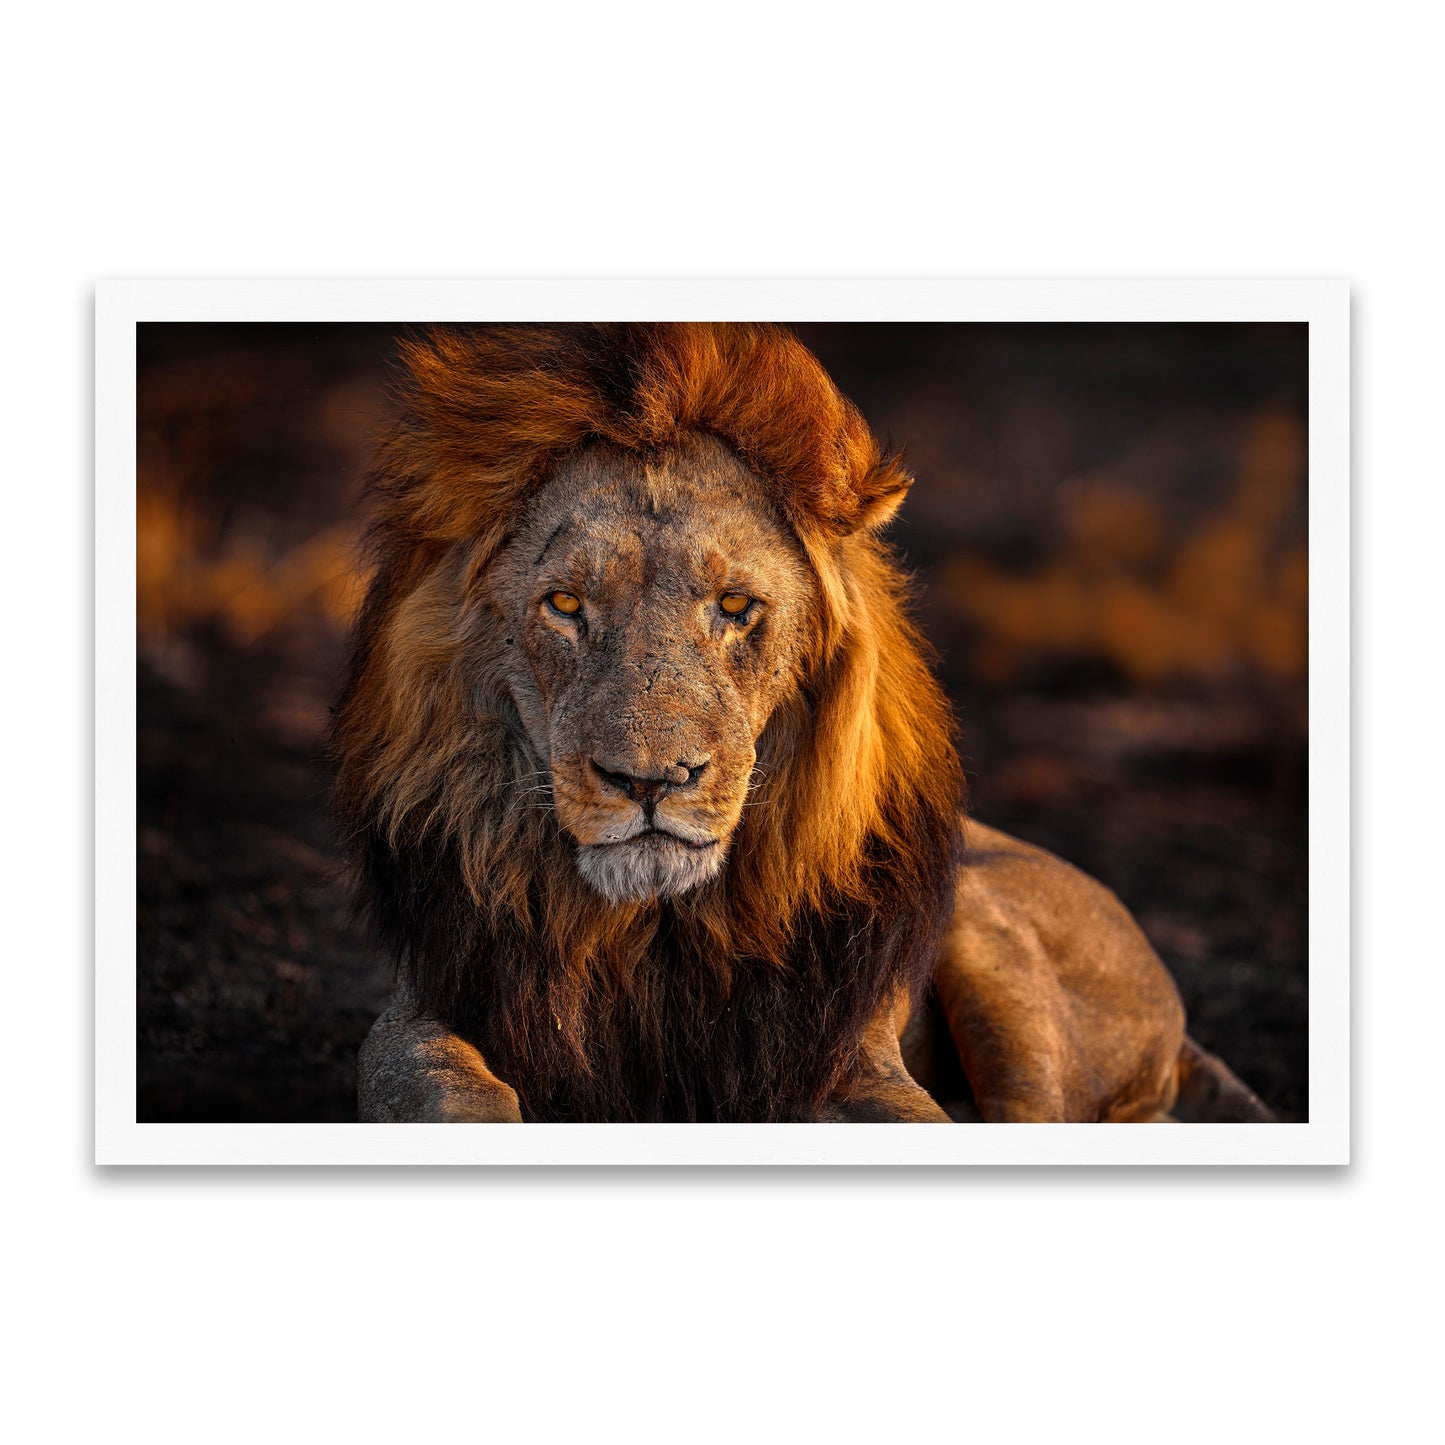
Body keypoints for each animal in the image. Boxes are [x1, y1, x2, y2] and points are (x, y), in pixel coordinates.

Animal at [336, 322, 1273, 1124]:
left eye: (735, 607)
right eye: (565, 605)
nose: (648, 781)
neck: (649, 934)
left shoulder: (840, 1053)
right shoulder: (427, 1011)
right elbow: (449, 1094)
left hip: (988, 932)